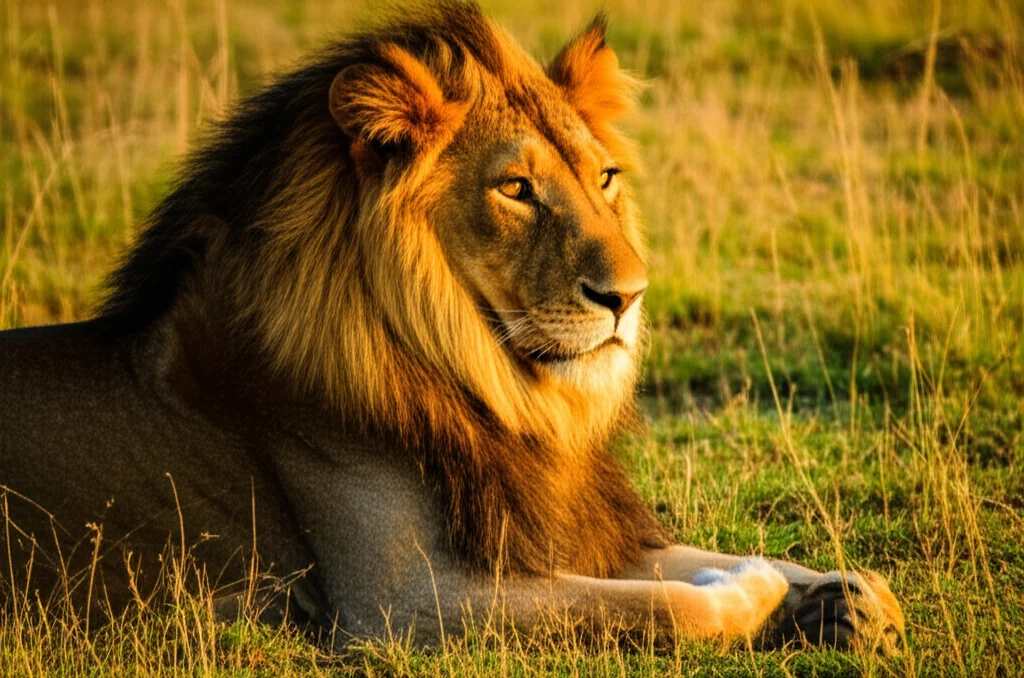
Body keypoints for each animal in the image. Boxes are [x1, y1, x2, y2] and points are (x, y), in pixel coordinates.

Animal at [0, 2, 903, 651]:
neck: (486, 381)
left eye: (604, 176)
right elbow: (664, 606)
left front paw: (846, 594)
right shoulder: (401, 603)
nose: (631, 295)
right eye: (516, 189)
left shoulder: (548, 531)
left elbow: (685, 560)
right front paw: (757, 591)